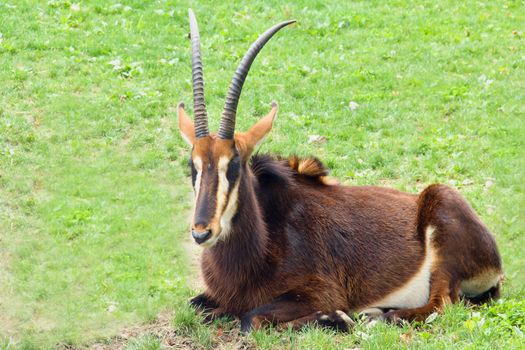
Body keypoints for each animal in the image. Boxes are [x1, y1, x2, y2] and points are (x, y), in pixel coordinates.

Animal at [177, 8, 504, 330]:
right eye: (194, 165)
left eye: (233, 165)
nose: (202, 232)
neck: (266, 237)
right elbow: (195, 307)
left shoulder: (320, 291)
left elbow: (251, 318)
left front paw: (336, 317)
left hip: (442, 241)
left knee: (441, 305)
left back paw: (379, 316)